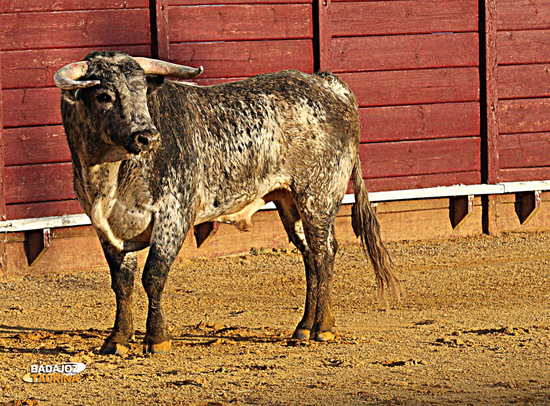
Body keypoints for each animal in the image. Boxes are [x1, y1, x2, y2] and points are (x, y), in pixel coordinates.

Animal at [54, 51, 398, 356]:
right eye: (103, 95)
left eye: (142, 90)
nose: (147, 136)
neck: (110, 175)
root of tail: (327, 83)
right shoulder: (106, 229)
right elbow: (122, 283)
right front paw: (117, 340)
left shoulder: (174, 216)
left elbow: (153, 275)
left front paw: (157, 339)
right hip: (291, 204)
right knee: (311, 257)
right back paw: (303, 328)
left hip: (318, 196)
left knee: (324, 253)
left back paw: (323, 328)